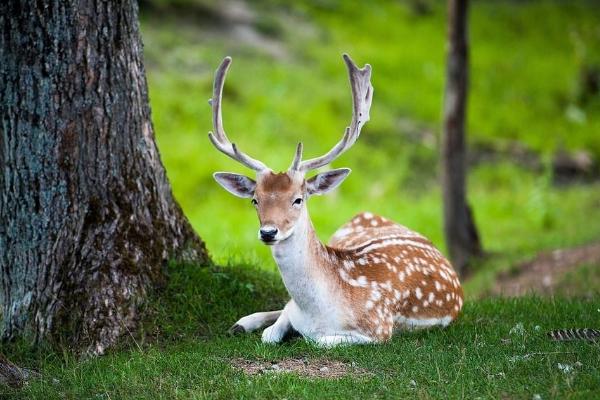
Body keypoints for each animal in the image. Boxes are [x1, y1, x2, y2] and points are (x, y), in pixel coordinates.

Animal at [207, 54, 464, 346]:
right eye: (255, 200)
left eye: (298, 199)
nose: (268, 232)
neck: (317, 311)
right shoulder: (293, 310)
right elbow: (272, 331)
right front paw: (252, 325)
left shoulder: (379, 328)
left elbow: (316, 339)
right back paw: (241, 323)